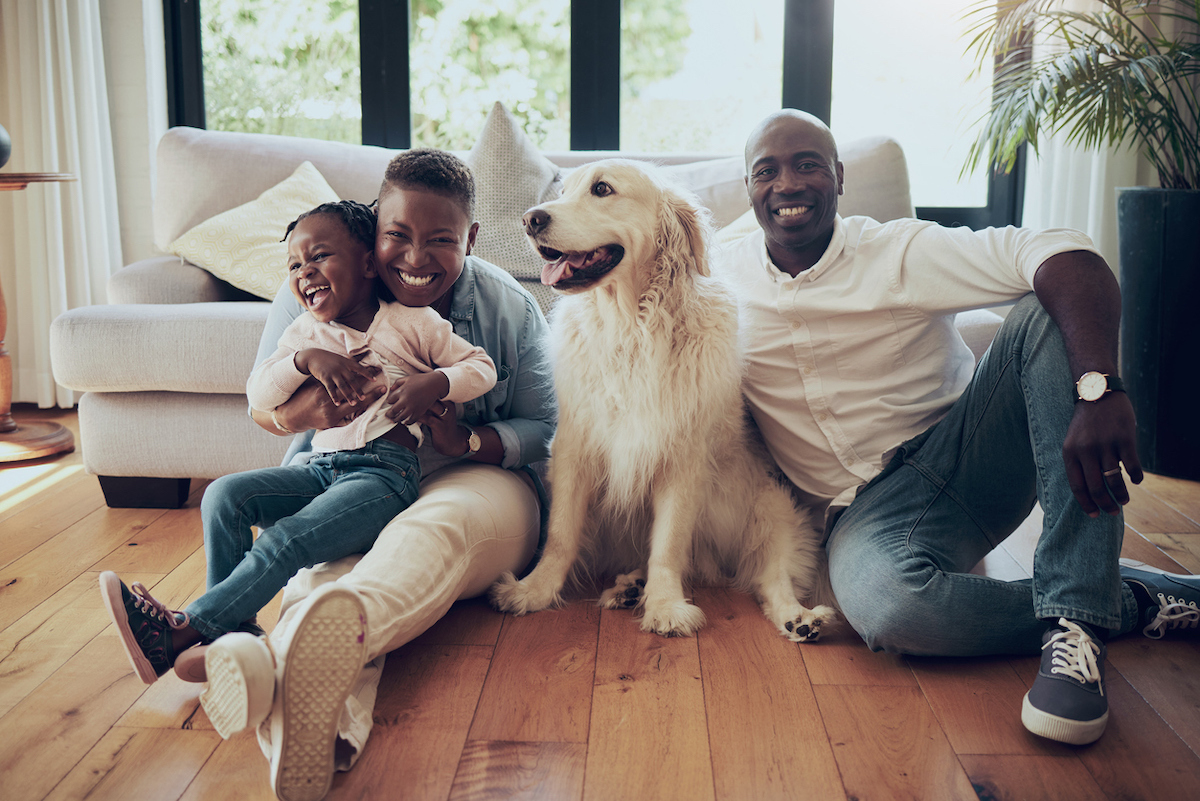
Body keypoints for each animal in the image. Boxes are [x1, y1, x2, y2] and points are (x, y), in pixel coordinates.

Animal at [487, 159, 835, 642]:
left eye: (602, 189)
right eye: (563, 190)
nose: (530, 219)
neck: (631, 325)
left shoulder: (683, 456)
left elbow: (668, 546)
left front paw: (666, 605)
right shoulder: (575, 446)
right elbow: (560, 535)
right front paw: (533, 590)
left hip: (773, 509)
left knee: (772, 579)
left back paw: (799, 619)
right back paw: (629, 586)